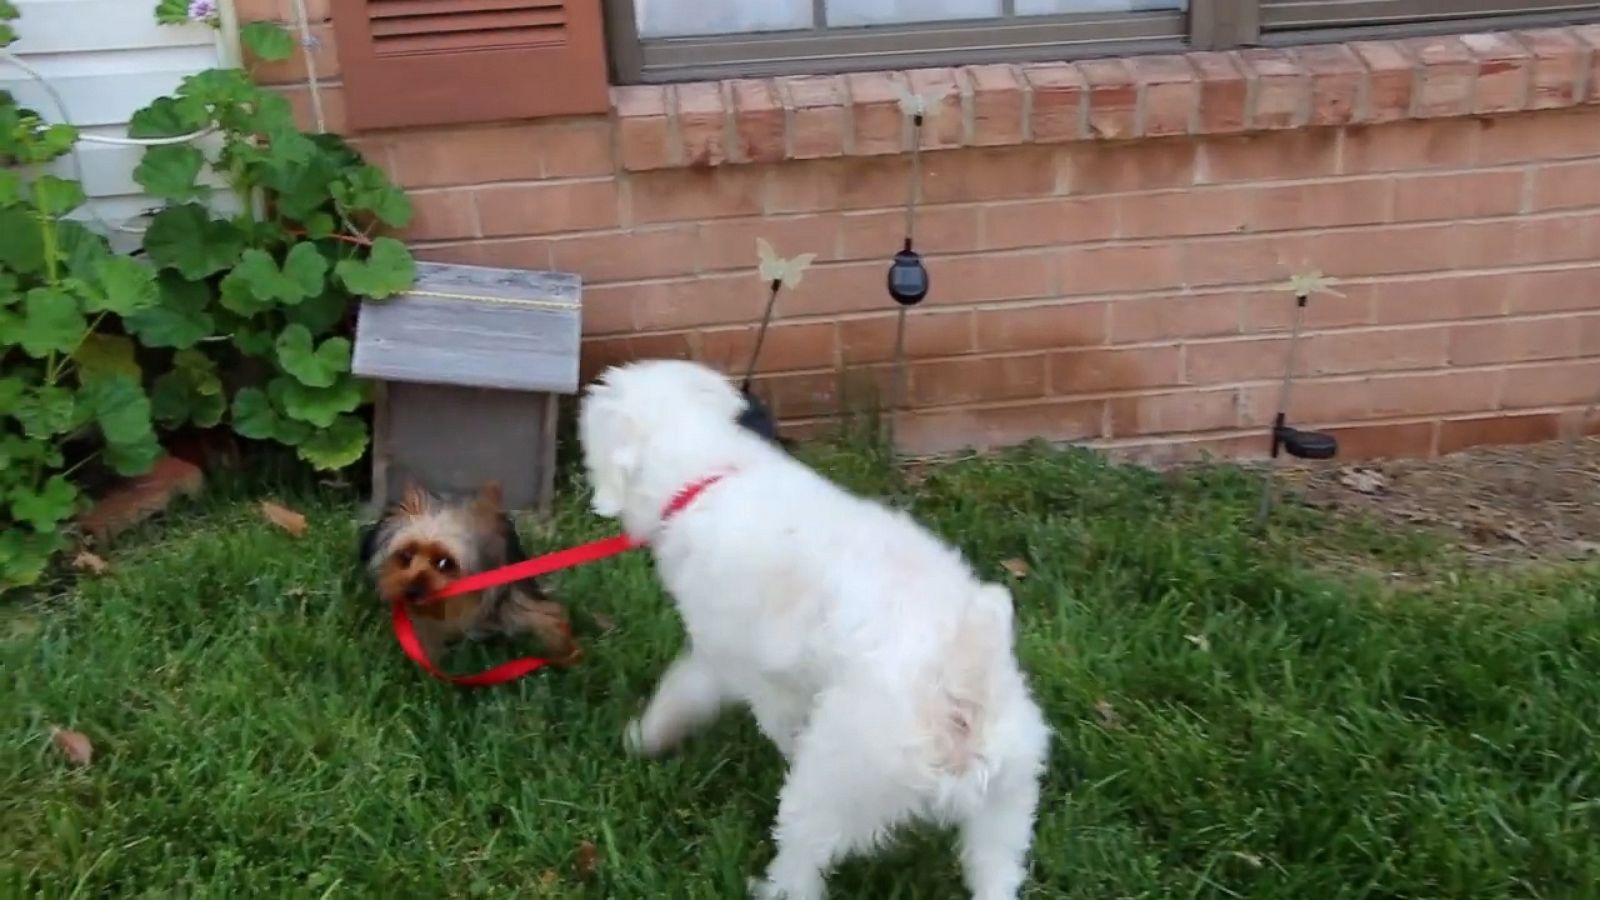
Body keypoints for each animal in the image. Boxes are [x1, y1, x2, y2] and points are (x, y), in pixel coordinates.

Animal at [361, 483, 582, 666]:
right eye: (406, 556)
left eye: (445, 563)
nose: (412, 591)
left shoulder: (514, 596)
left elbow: (549, 616)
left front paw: (566, 652)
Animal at [582, 358, 1056, 896]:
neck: (712, 473)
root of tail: (962, 695)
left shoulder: (733, 664)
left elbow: (683, 692)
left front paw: (642, 738)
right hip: (1007, 801)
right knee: (996, 871)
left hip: (834, 786)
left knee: (802, 863)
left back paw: (771, 886)